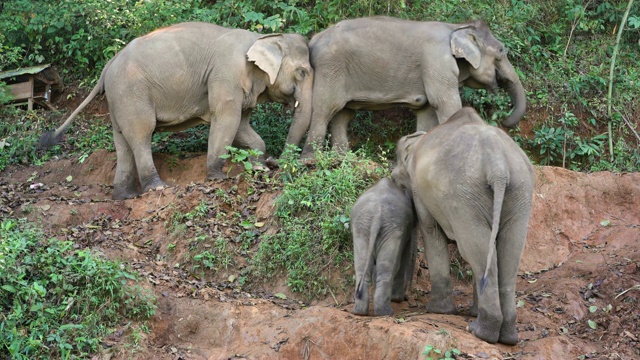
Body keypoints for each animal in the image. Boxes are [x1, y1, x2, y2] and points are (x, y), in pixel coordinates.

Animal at [38, 21, 314, 200]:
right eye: (302, 72)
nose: (276, 162)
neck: (262, 38)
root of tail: (108, 66)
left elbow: (242, 126)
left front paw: (258, 166)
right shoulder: (225, 76)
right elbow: (227, 120)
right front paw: (218, 177)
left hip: (118, 100)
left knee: (122, 141)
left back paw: (124, 196)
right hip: (131, 94)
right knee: (141, 134)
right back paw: (157, 188)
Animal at [284, 16, 524, 158]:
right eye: (501, 51)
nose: (505, 121)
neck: (456, 27)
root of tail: (314, 39)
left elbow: (427, 112)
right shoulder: (436, 62)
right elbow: (446, 104)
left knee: (342, 114)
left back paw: (342, 158)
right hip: (330, 68)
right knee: (325, 109)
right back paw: (311, 160)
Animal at [350, 176, 416, 316]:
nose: (408, 296)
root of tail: (376, 215)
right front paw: (398, 299)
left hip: (363, 227)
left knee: (363, 266)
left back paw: (359, 311)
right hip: (388, 228)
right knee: (388, 267)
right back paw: (386, 312)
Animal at [390, 107, 536, 346]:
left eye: (396, 179)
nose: (401, 298)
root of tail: (498, 166)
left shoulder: (421, 192)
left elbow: (431, 231)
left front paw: (438, 311)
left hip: (464, 196)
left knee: (475, 249)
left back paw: (480, 331)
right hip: (520, 192)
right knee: (506, 252)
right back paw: (506, 336)